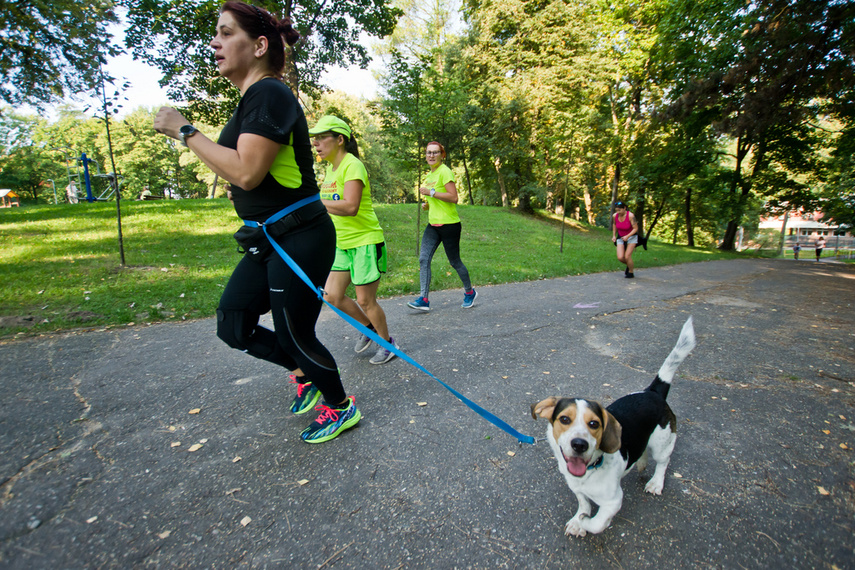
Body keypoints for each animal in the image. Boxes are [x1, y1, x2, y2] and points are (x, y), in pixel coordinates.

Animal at [532, 318, 700, 536]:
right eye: (564, 419)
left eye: (594, 423)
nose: (579, 444)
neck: (590, 470)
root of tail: (652, 392)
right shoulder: (577, 489)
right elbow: (583, 503)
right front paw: (578, 519)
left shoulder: (613, 501)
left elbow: (596, 523)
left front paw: (584, 522)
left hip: (663, 444)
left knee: (663, 463)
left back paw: (656, 482)